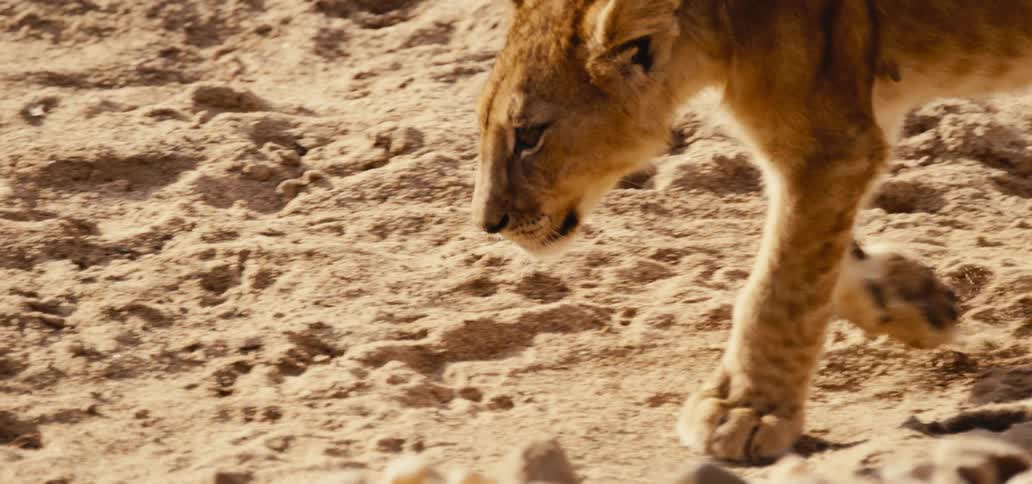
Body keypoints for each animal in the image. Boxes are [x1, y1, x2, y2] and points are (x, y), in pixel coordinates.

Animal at [470, 0, 1032, 464]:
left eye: (529, 136)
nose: (486, 223)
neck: (714, 32)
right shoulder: (856, 125)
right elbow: (819, 260)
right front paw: (917, 300)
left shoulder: (827, 144)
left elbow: (780, 285)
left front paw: (744, 411)